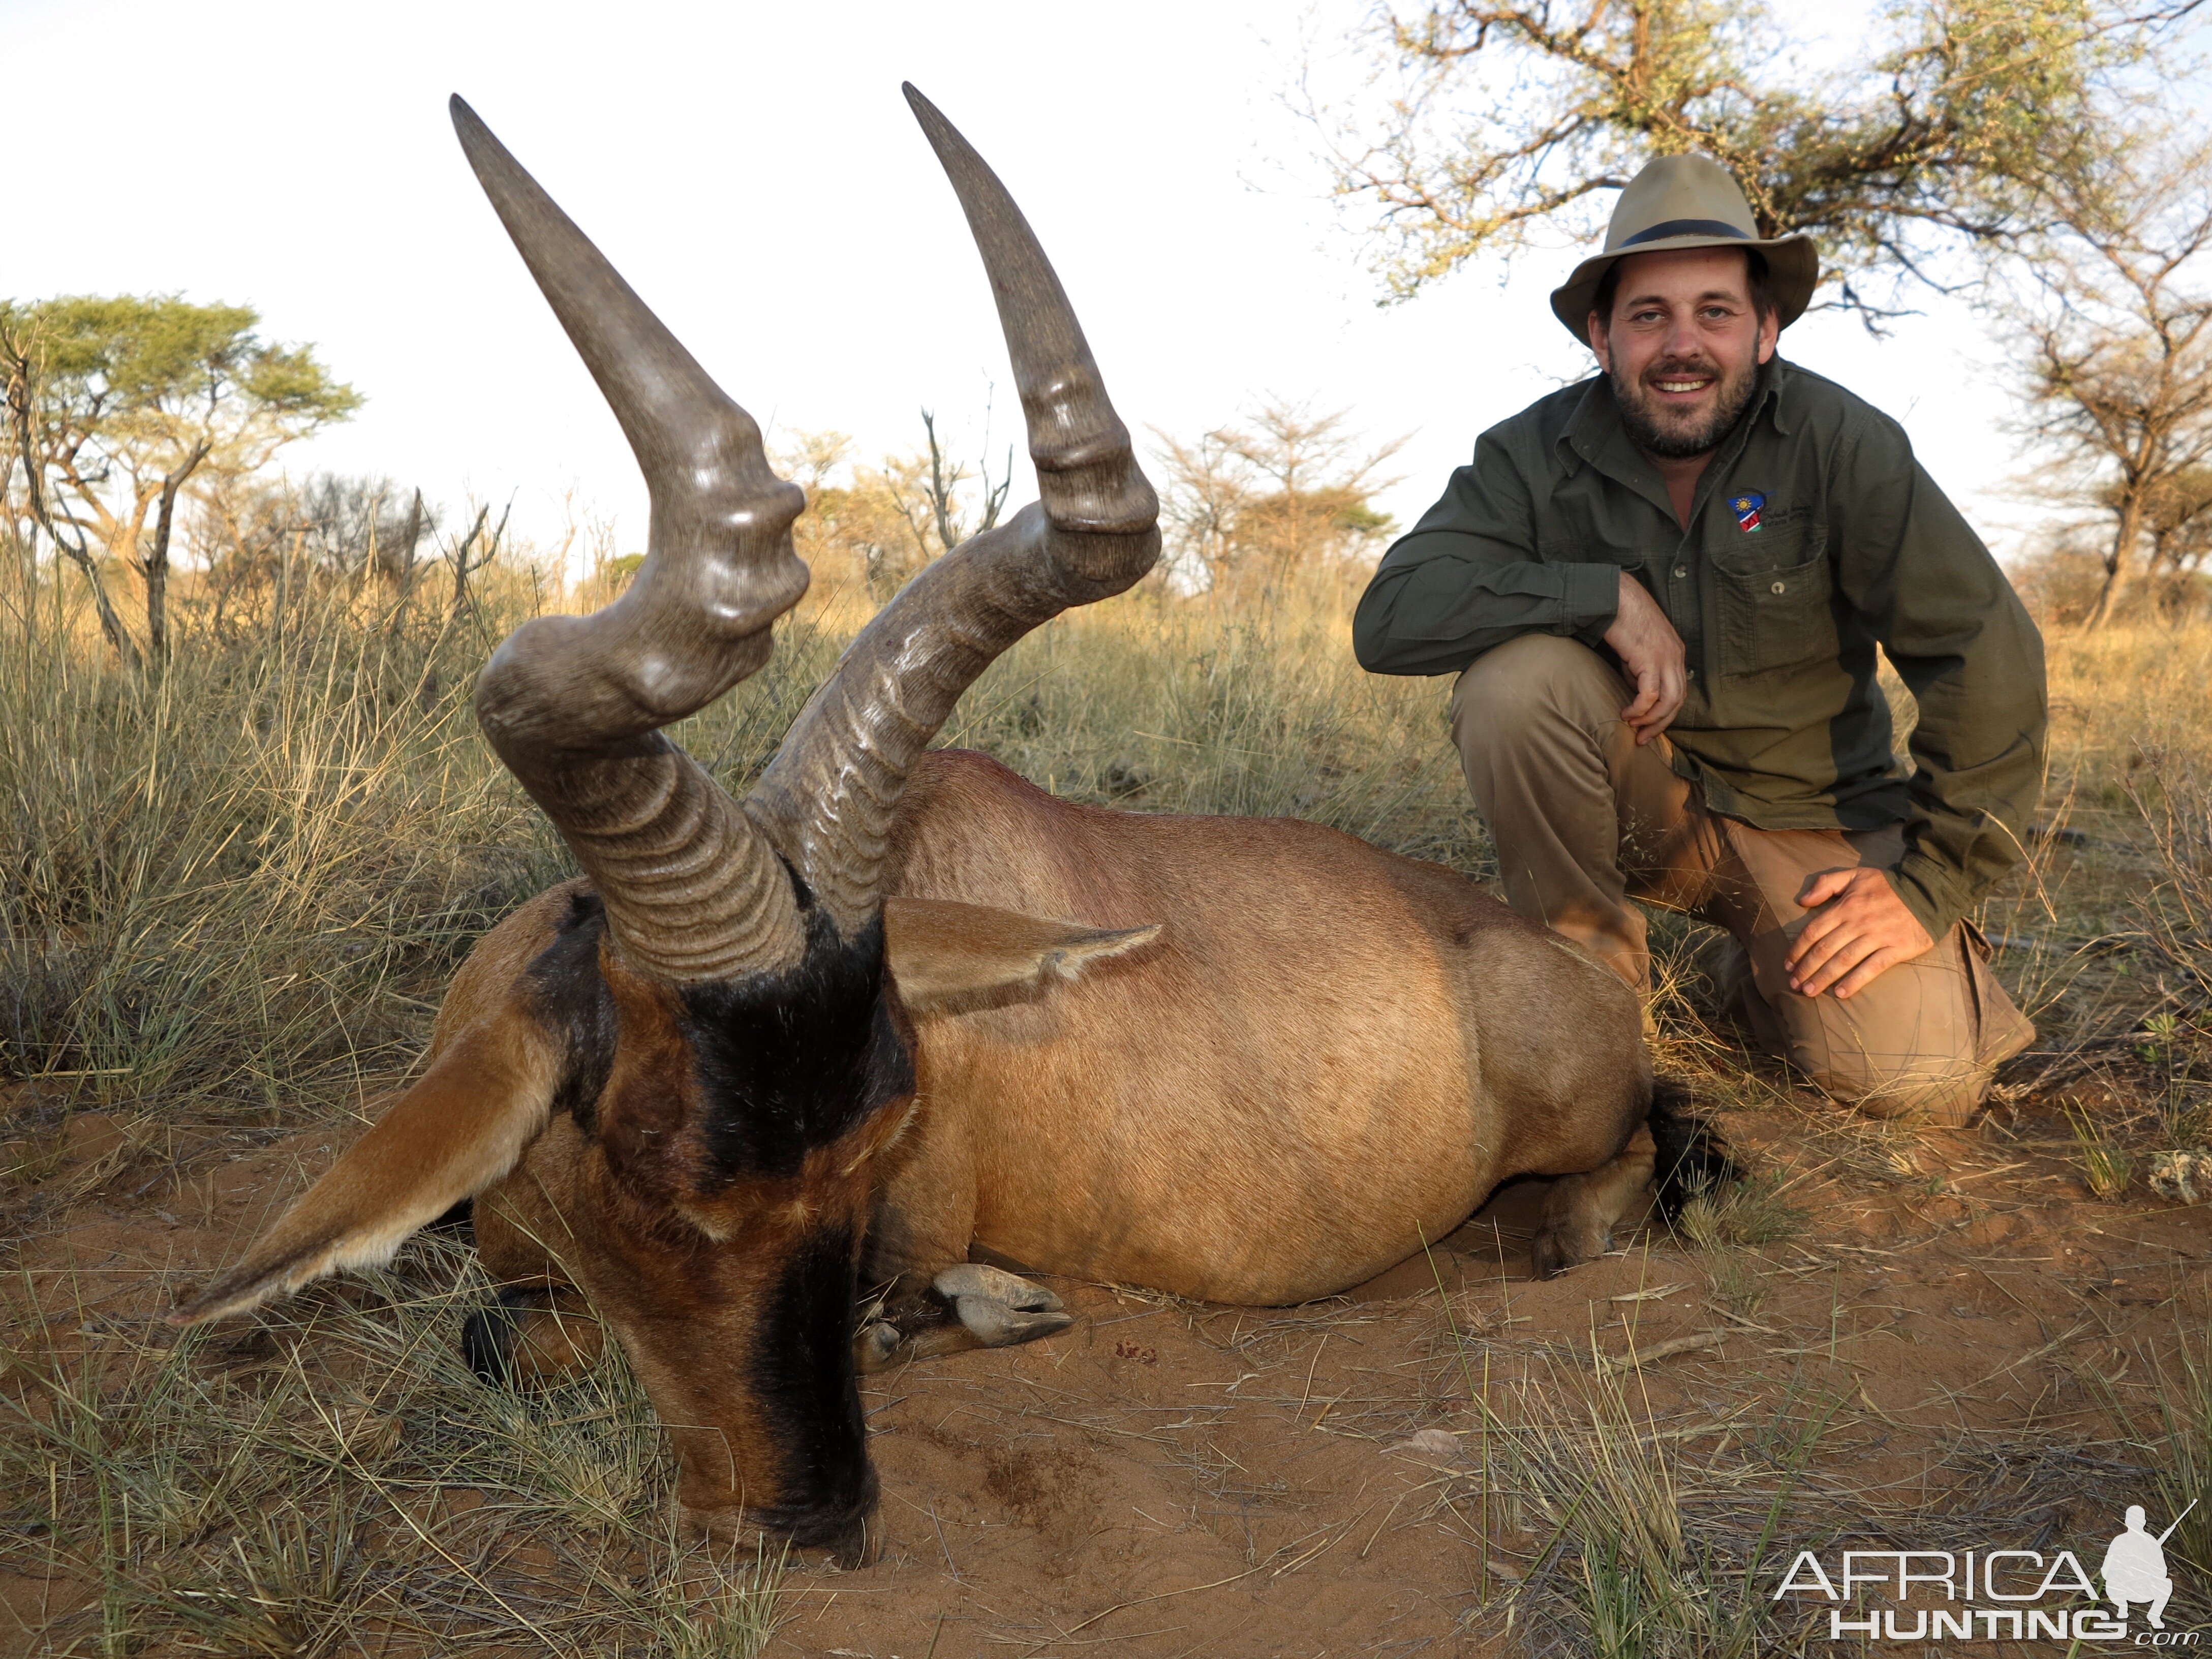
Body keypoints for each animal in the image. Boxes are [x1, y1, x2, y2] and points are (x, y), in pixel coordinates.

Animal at [177, 87, 1707, 1575]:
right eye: (665, 1190)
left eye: (876, 1149)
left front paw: (980, 1310)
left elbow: (521, 1333)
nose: (805, 1524)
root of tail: (1551, 953)